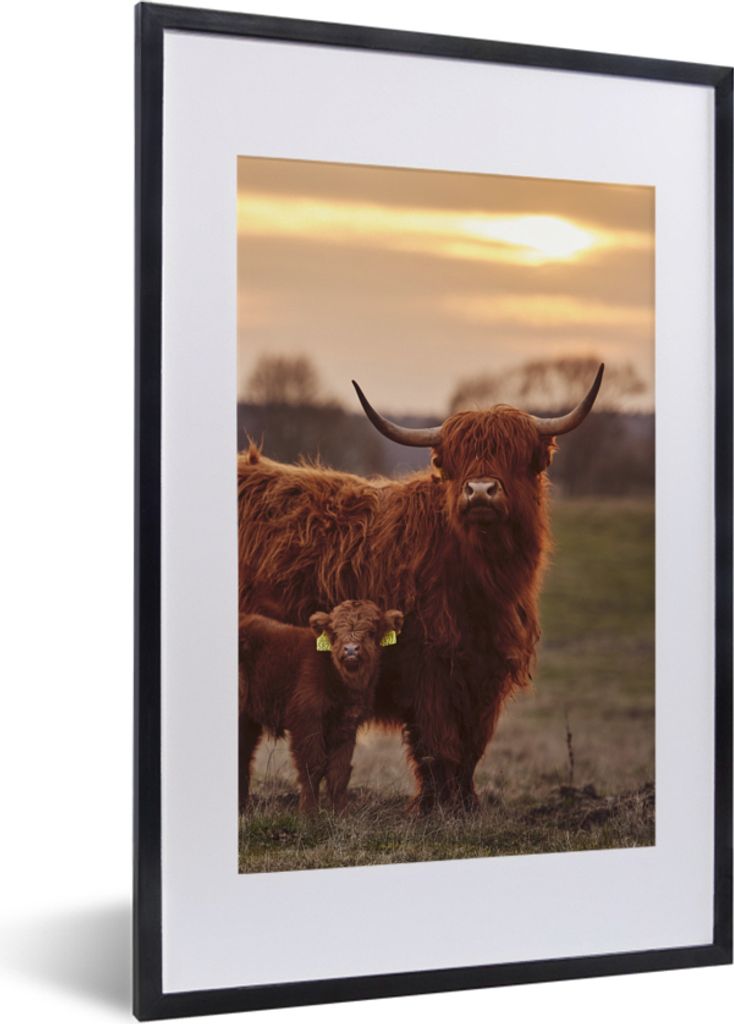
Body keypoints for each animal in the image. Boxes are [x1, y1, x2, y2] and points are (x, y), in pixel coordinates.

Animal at [239, 599, 404, 814]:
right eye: (335, 632)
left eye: (372, 631)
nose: (351, 649)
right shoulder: (307, 720)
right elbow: (313, 766)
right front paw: (309, 814)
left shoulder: (346, 724)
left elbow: (339, 771)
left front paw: (340, 813)